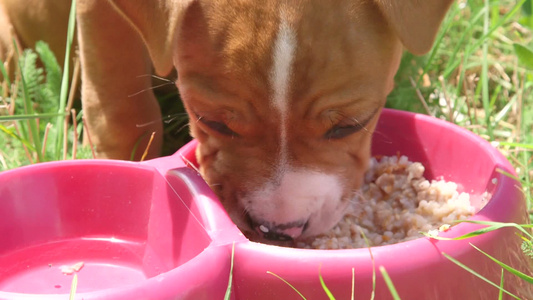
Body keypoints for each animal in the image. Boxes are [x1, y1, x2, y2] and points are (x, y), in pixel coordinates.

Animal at [0, 0, 454, 239]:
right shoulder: (101, 20)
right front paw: (125, 173)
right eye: (213, 122)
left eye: (351, 124)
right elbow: (120, 108)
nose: (279, 229)